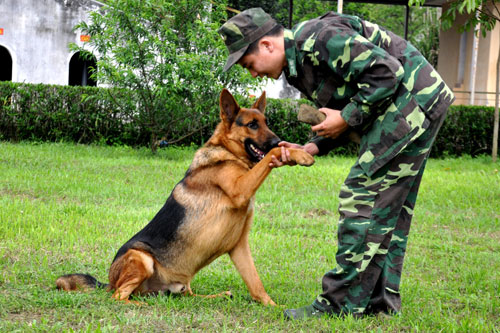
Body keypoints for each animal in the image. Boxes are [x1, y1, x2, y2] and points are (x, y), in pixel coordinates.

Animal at [54, 89, 312, 306]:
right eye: (252, 125)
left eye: (266, 123)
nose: (277, 140)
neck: (227, 153)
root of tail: (108, 281)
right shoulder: (241, 189)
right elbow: (270, 155)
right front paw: (297, 154)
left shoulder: (239, 245)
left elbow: (256, 283)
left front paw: (273, 307)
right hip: (141, 258)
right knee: (118, 297)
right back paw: (142, 305)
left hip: (179, 285)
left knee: (186, 296)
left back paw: (218, 295)